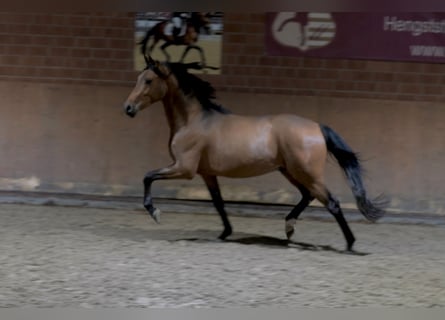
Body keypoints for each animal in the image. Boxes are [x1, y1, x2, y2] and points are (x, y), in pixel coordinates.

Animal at [124, 55, 386, 252]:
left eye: (148, 80)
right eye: (138, 78)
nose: (128, 108)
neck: (193, 120)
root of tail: (317, 127)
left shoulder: (183, 168)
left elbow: (148, 176)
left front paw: (155, 212)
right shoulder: (206, 173)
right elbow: (218, 202)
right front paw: (225, 233)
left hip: (306, 173)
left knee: (331, 202)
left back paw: (349, 243)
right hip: (290, 171)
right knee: (307, 196)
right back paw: (289, 227)